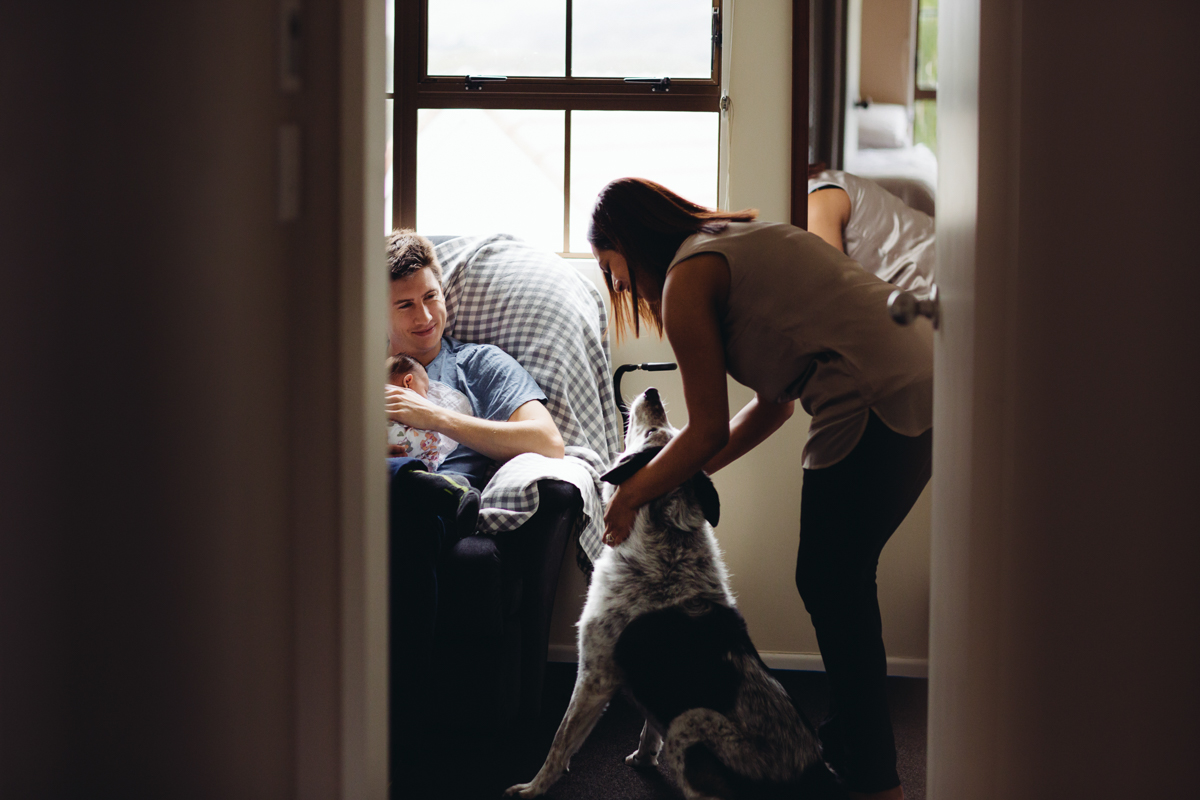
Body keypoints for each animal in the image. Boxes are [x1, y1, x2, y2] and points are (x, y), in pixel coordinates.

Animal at [504, 386, 825, 796]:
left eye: (655, 432)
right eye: (668, 430)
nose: (652, 390)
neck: (667, 543)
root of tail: (817, 776)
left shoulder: (594, 676)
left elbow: (559, 743)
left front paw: (532, 788)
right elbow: (648, 727)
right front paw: (643, 759)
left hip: (692, 723)